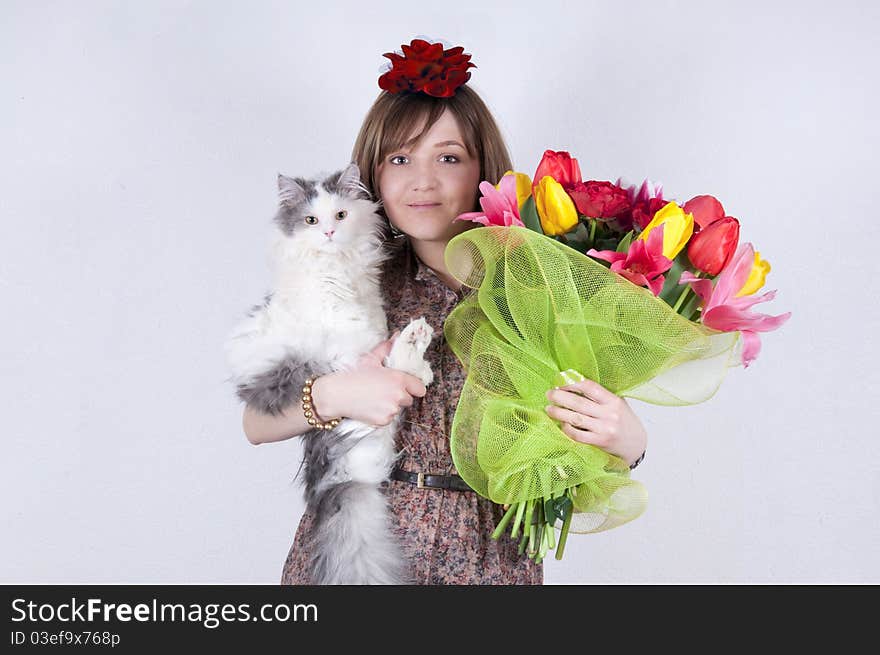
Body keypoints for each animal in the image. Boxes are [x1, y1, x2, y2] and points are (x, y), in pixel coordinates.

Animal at [223, 163, 436, 584]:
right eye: (310, 220)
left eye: (340, 215)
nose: (329, 233)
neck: (338, 267)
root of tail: (344, 479)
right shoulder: (336, 325)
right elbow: (355, 339)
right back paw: (414, 342)